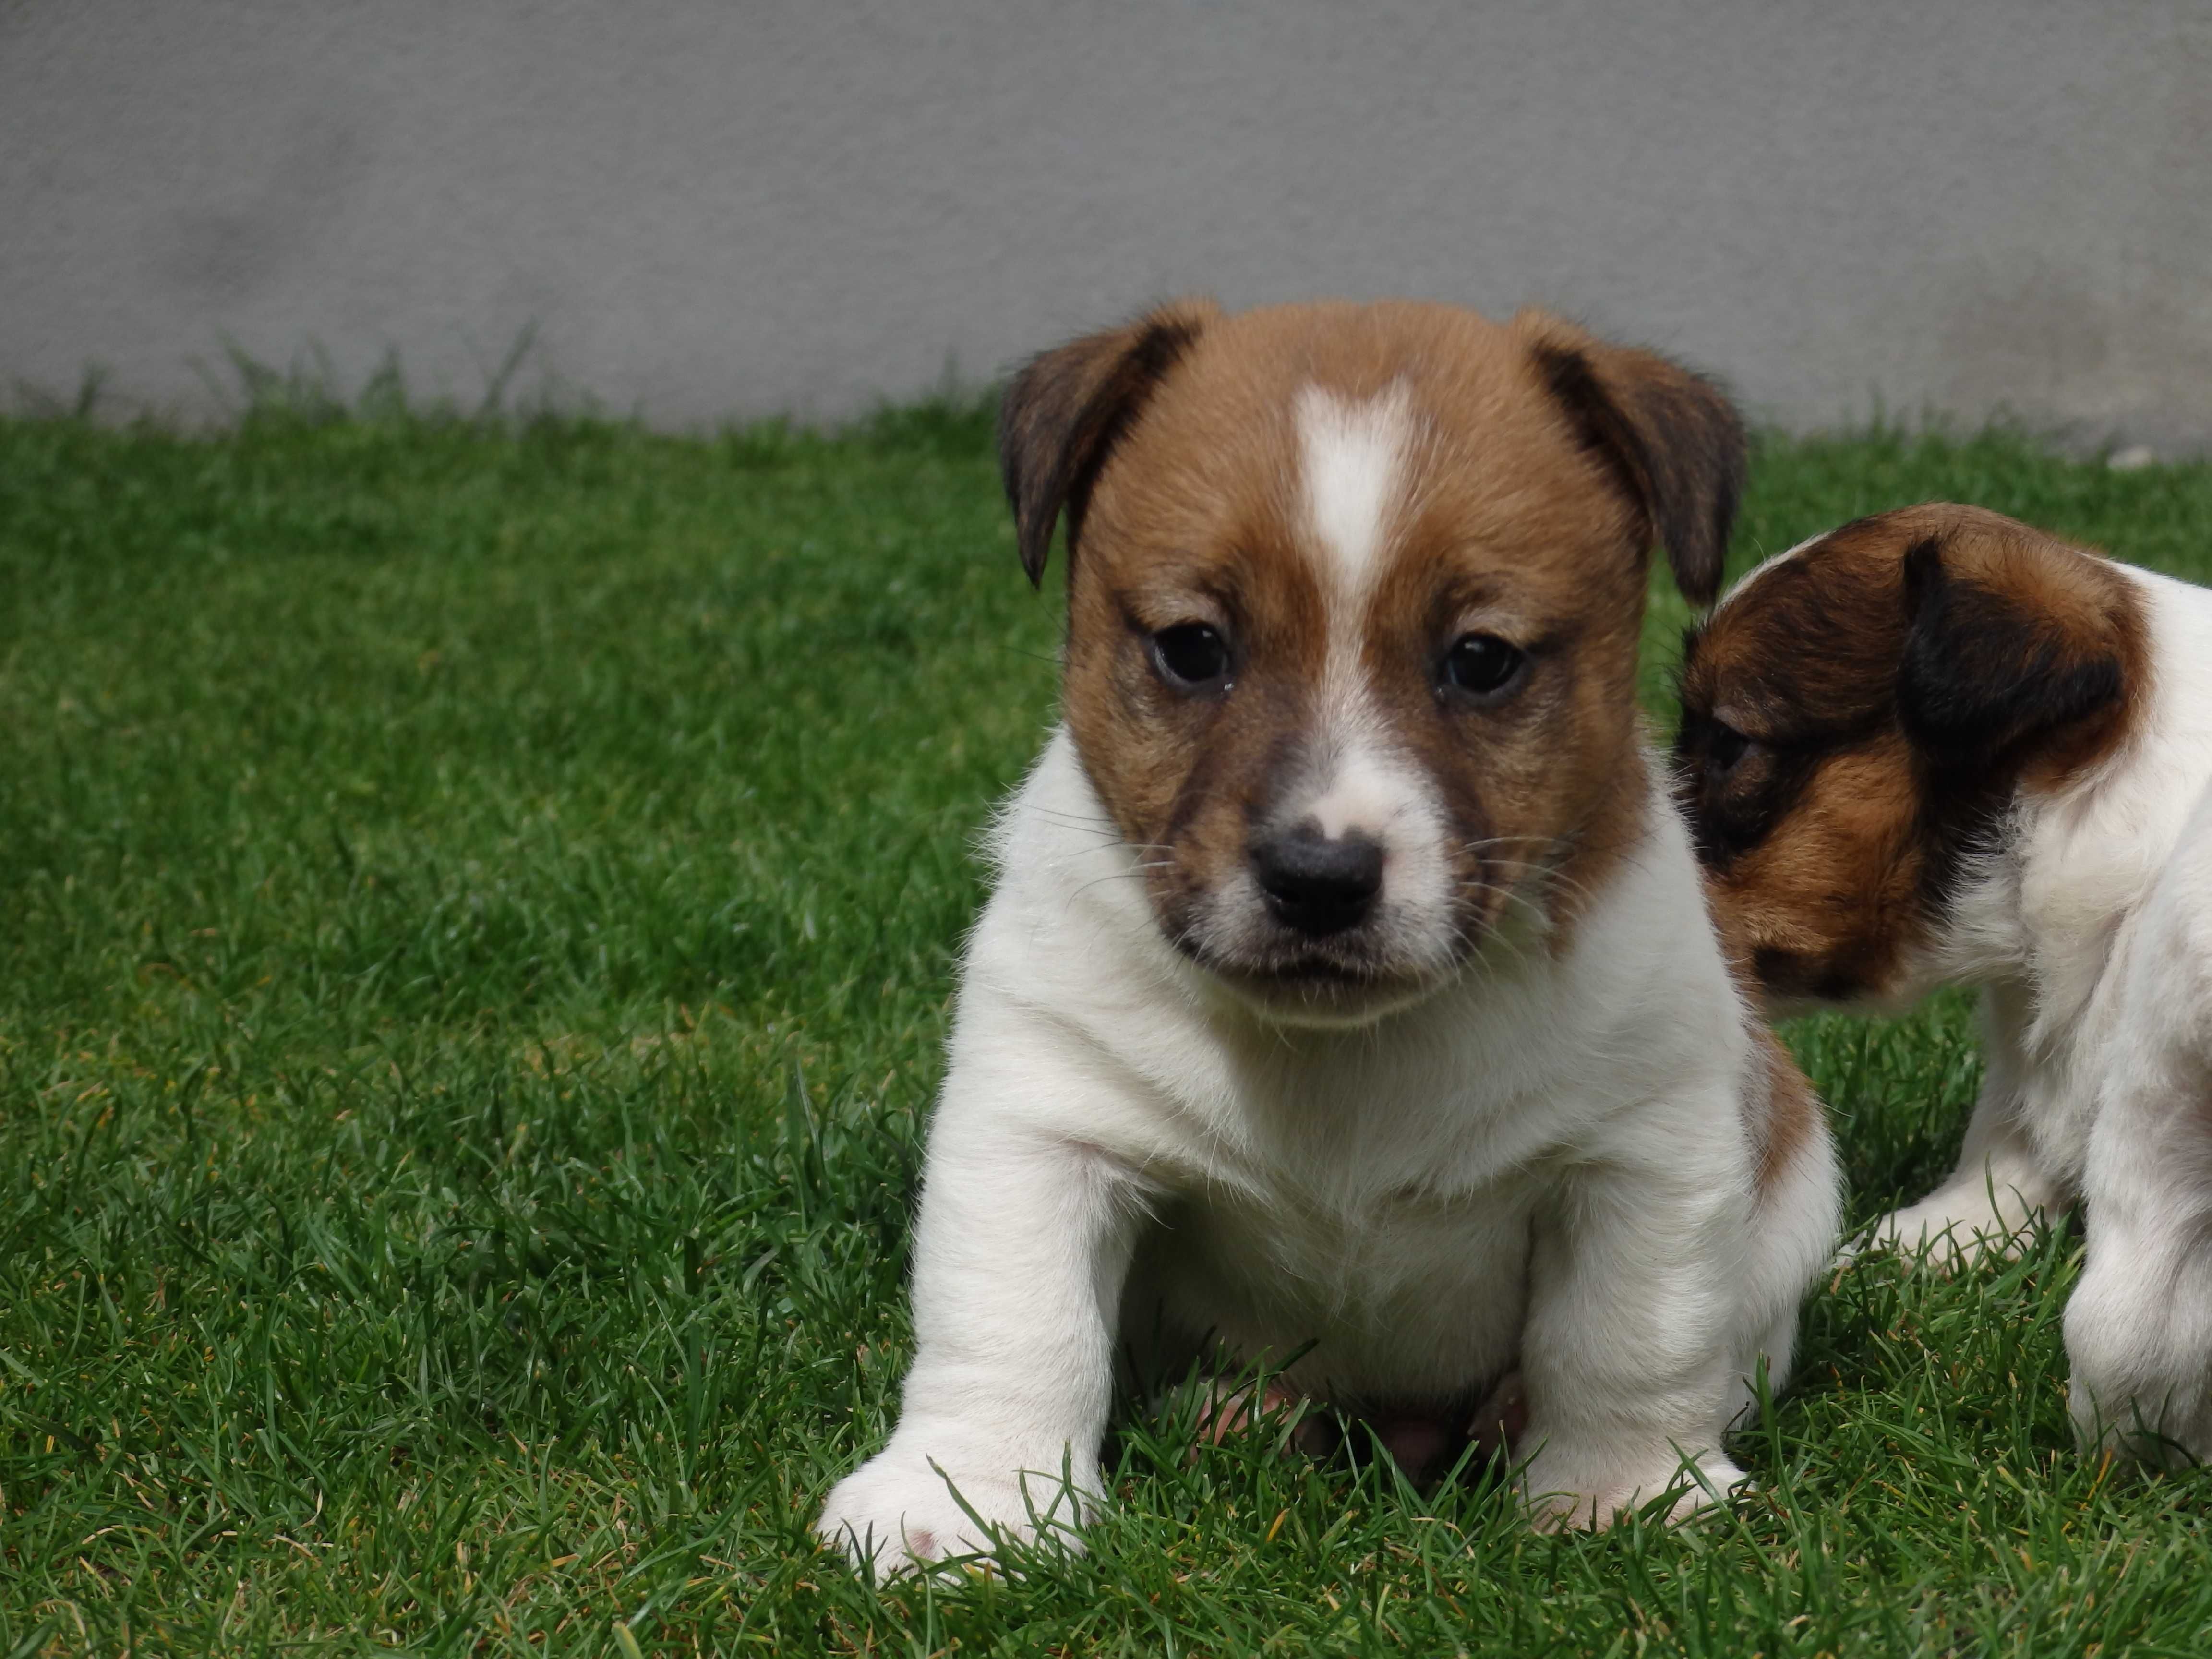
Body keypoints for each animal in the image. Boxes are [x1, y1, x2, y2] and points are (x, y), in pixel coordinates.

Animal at [823, 299, 1840, 1575]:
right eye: (1192, 648)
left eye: (1482, 660)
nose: (1319, 878)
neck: (1345, 1052)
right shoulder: (1043, 1118)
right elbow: (1010, 1312)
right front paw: (966, 1495)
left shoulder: (1645, 1151)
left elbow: (1627, 1339)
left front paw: (1625, 1492)